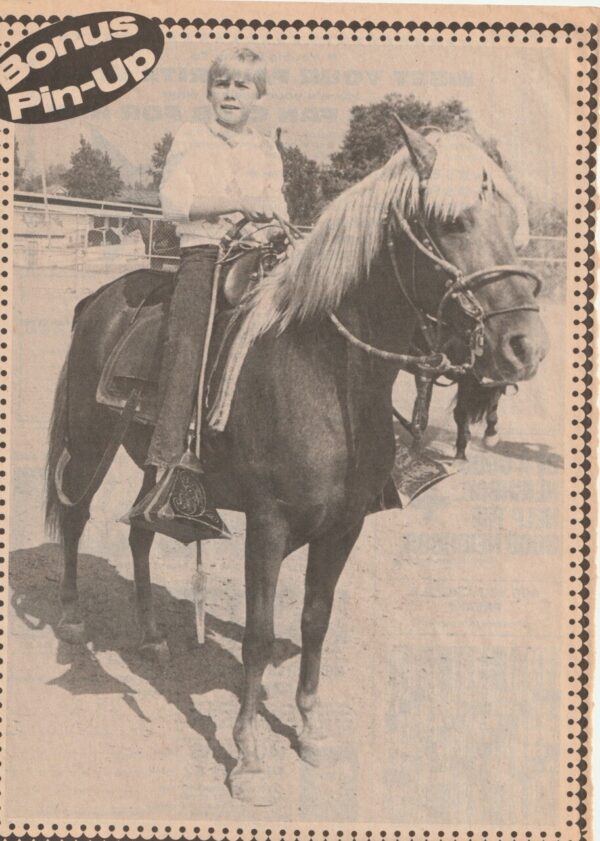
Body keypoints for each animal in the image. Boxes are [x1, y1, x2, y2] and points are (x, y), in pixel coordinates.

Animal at [44, 123, 548, 800]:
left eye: (513, 224)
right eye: (453, 222)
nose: (526, 347)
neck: (322, 370)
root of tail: (98, 300)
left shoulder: (344, 527)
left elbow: (315, 621)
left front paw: (309, 730)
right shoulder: (269, 524)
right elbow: (258, 636)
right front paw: (249, 756)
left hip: (154, 467)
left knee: (142, 531)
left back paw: (151, 636)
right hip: (90, 440)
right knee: (74, 516)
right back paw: (73, 619)